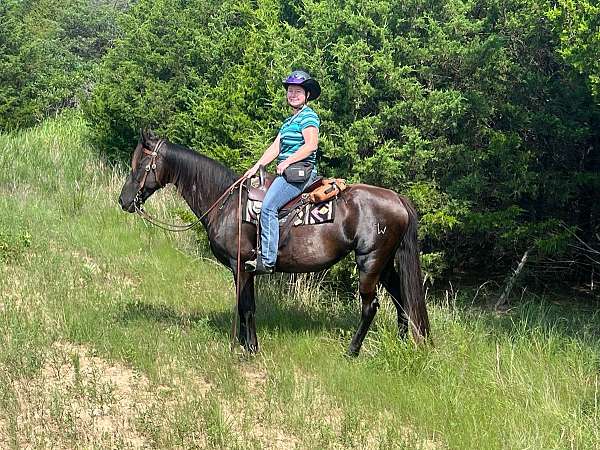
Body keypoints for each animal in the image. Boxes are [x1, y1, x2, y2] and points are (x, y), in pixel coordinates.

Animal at [117, 130, 428, 356]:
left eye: (141, 165)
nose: (124, 200)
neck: (226, 203)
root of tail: (397, 199)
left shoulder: (241, 265)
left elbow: (246, 306)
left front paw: (250, 348)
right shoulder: (246, 269)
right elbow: (245, 305)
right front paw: (245, 343)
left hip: (370, 261)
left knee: (371, 306)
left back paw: (352, 351)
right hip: (384, 263)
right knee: (401, 299)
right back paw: (402, 343)